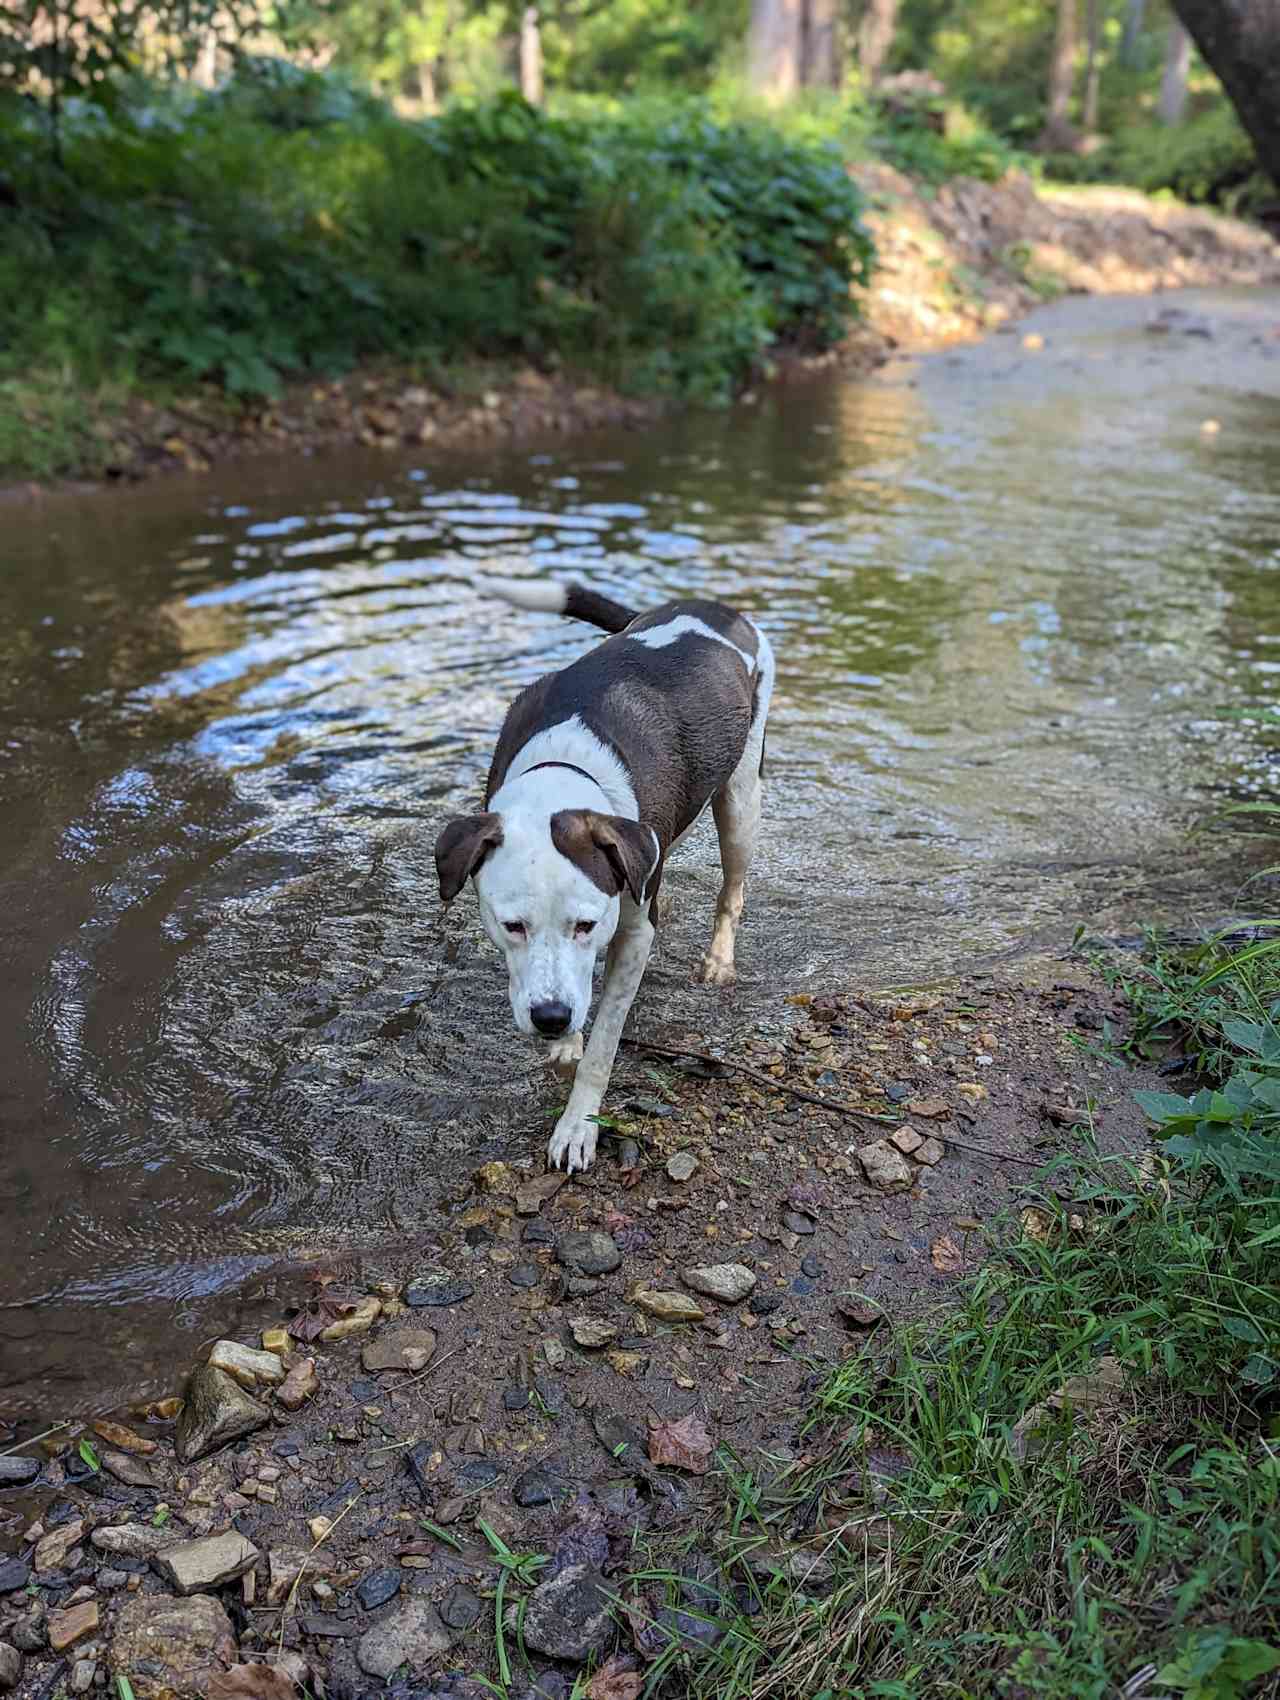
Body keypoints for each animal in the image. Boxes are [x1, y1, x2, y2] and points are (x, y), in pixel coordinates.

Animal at [435, 574, 775, 1169]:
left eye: (586, 924)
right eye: (512, 925)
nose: (550, 1017)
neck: (564, 773)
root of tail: (714, 608)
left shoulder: (634, 931)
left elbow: (604, 1046)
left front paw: (577, 1126)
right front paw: (565, 1044)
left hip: (741, 799)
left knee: (732, 886)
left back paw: (718, 960)